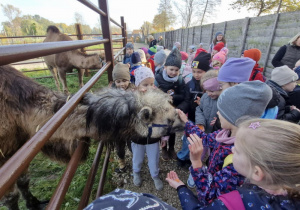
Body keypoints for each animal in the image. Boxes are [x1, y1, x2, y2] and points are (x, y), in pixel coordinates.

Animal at [0, 65, 184, 209]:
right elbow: (11, 196)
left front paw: (34, 203)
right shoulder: (6, 154)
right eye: (168, 119)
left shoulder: (19, 149)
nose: (184, 119)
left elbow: (23, 180)